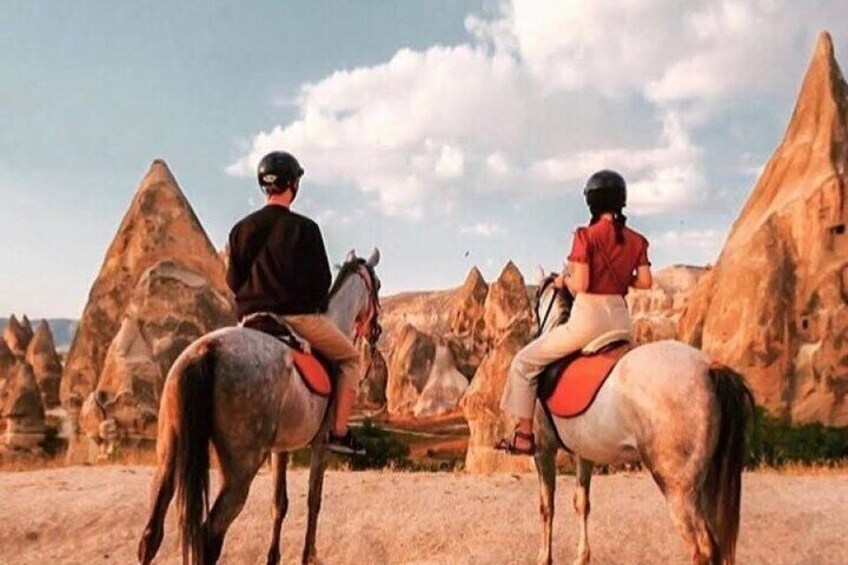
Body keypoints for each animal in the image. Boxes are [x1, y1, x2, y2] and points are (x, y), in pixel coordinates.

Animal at [137, 249, 382, 560]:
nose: (376, 331)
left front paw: (273, 557)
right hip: (241, 467)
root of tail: (207, 351)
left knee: (151, 535)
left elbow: (280, 503)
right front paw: (308, 556)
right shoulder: (321, 444)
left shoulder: (281, 449)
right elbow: (314, 501)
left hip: (169, 451)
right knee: (208, 537)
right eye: (378, 286)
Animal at [528, 268, 756, 564]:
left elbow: (547, 506)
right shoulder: (584, 452)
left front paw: (544, 557)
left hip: (677, 487)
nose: (532, 329)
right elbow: (582, 503)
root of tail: (709, 368)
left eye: (534, 297)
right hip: (707, 481)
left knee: (703, 548)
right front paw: (582, 556)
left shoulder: (543, 449)